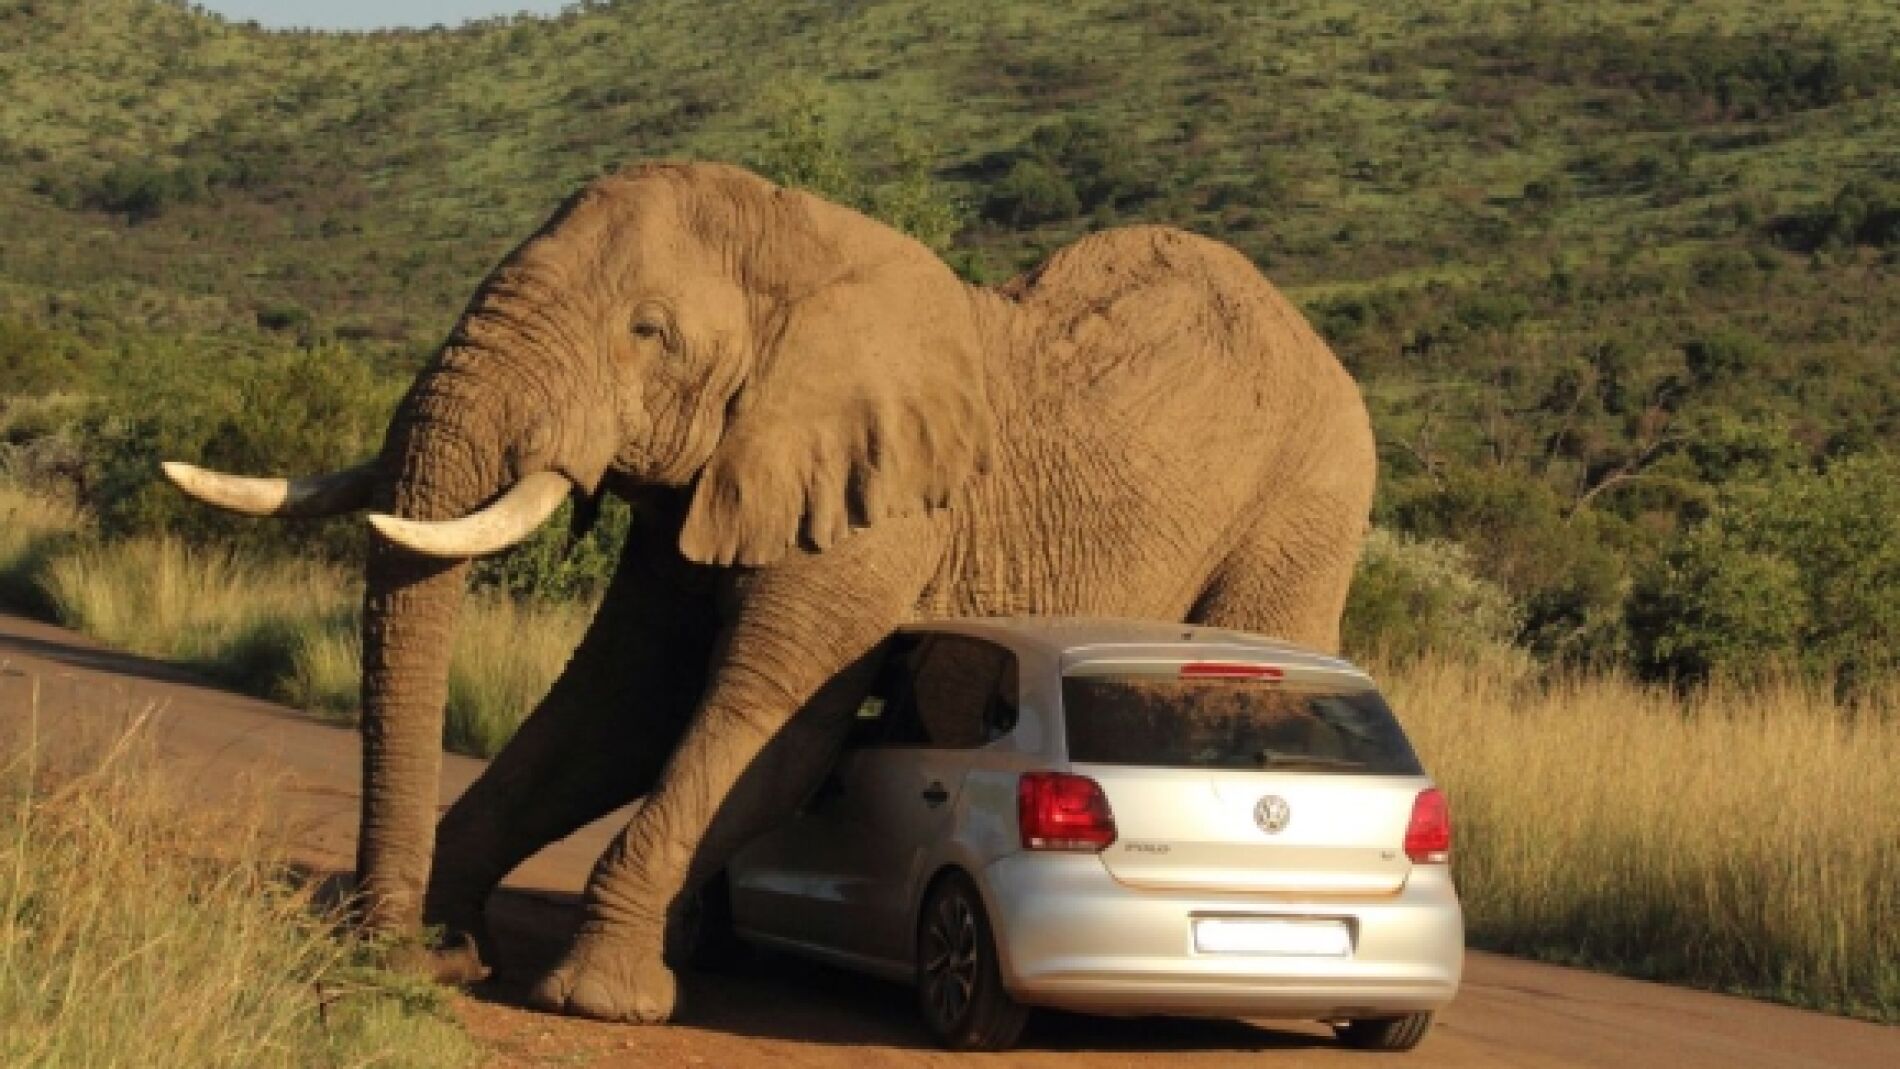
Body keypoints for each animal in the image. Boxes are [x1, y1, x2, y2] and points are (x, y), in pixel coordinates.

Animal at [162, 161, 1376, 1024]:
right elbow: (618, 708)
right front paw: (451, 947)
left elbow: (767, 729)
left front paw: (597, 999)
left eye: (646, 333)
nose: (379, 955)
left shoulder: (879, 511)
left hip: (1306, 503)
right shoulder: (714, 475)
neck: (797, 241)